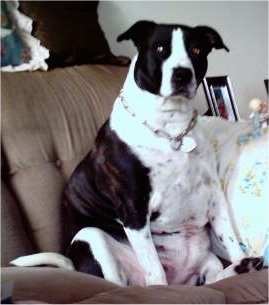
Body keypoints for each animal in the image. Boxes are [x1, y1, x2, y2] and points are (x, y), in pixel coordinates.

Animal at [10, 20, 262, 284]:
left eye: (196, 49)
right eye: (160, 48)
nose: (182, 74)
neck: (172, 128)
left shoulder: (213, 196)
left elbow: (231, 239)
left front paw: (239, 262)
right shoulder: (134, 210)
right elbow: (154, 267)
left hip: (208, 260)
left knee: (212, 277)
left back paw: (239, 268)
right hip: (92, 237)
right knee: (128, 283)